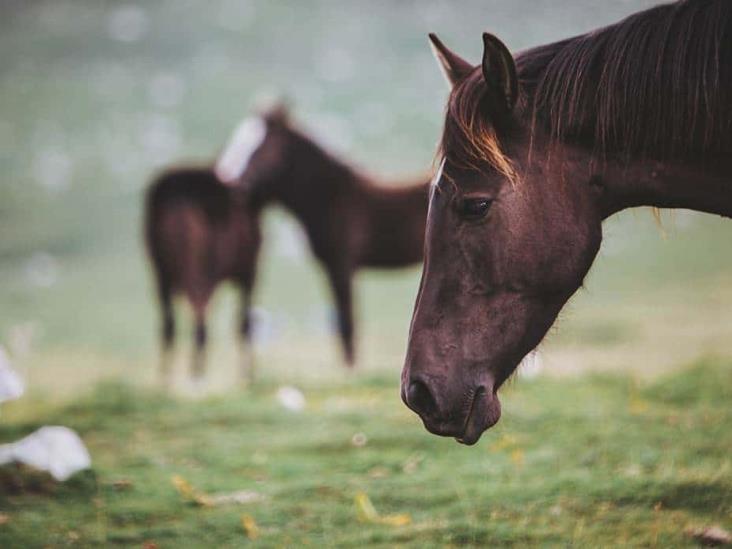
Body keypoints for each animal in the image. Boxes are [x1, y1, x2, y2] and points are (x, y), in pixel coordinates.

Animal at [144, 166, 260, 382]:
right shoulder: (248, 273)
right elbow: (244, 322)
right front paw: (247, 374)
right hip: (202, 272)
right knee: (201, 317)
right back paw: (197, 374)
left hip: (164, 273)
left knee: (171, 322)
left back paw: (168, 377)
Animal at [217, 106, 432, 364]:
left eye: (260, 145)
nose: (231, 181)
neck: (330, 197)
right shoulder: (332, 267)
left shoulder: (342, 265)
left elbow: (348, 326)